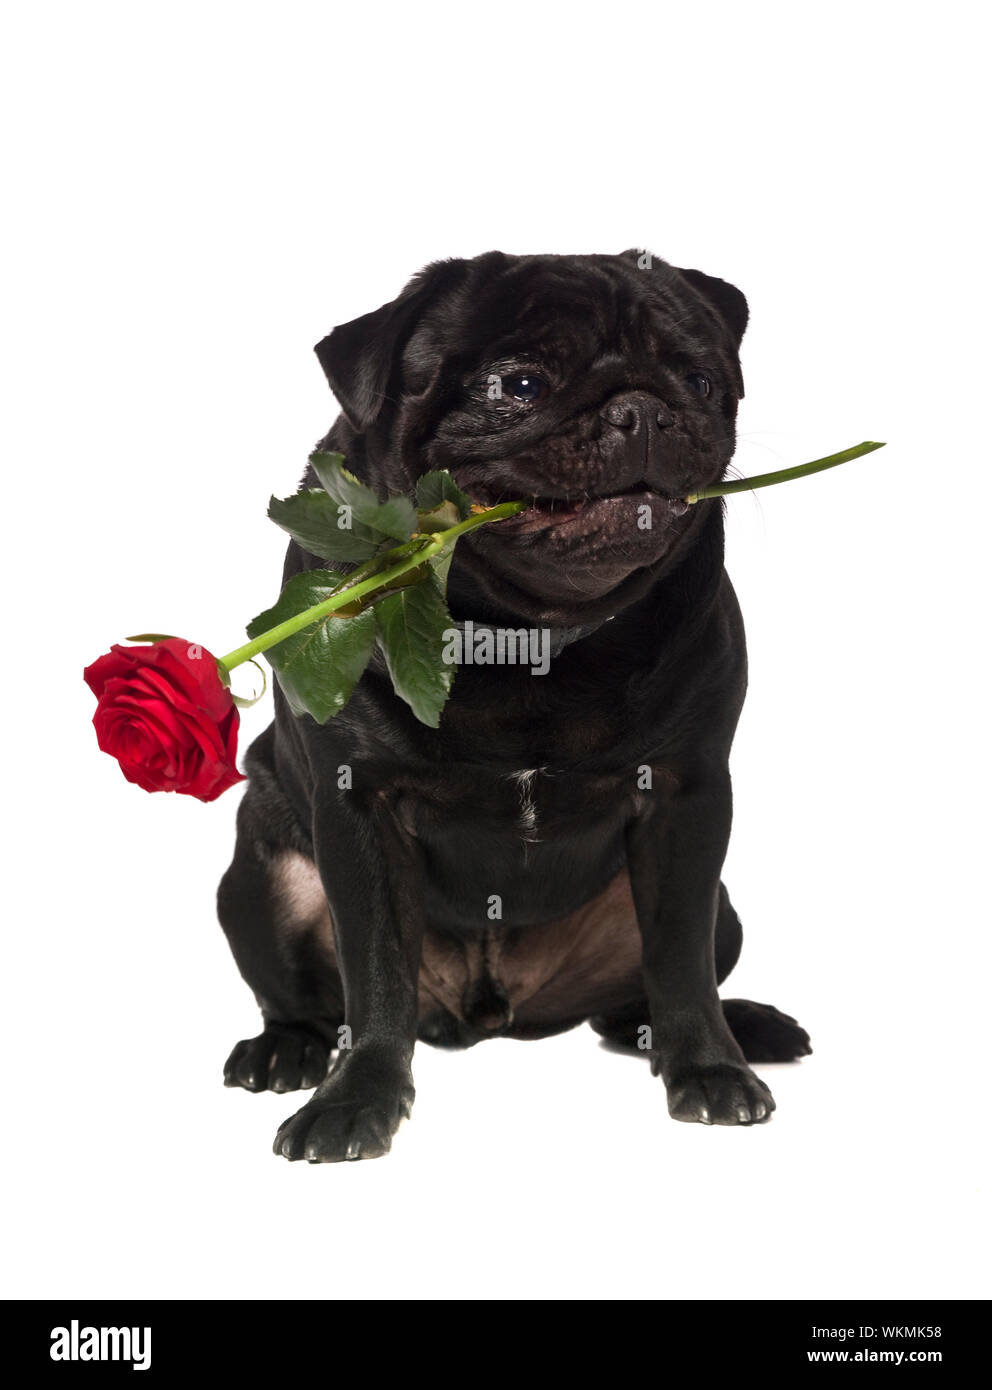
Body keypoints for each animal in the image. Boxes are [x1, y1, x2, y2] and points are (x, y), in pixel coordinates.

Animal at [213, 250, 805, 1162]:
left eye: (703, 381)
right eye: (519, 385)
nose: (642, 410)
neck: (530, 638)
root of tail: (489, 1010)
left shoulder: (688, 795)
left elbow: (679, 959)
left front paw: (709, 1069)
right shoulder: (359, 806)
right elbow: (375, 972)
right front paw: (356, 1101)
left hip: (724, 910)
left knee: (651, 990)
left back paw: (740, 1028)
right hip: (256, 875)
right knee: (307, 1000)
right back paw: (286, 1051)